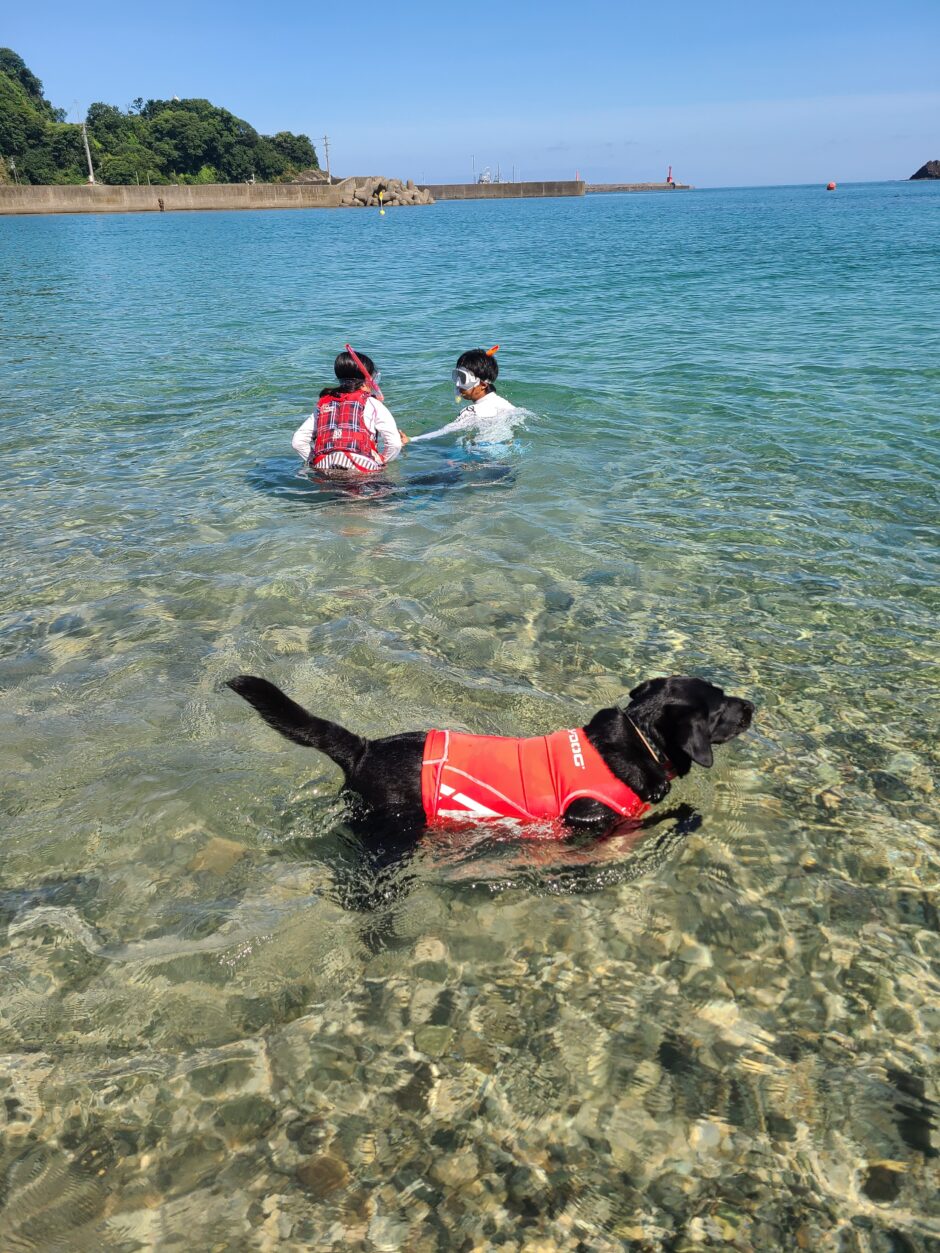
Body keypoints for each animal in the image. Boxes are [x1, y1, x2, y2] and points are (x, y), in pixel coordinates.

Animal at [224, 671, 757, 837]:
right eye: (720, 707)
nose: (752, 705)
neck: (637, 735)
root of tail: (363, 747)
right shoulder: (594, 824)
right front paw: (687, 817)